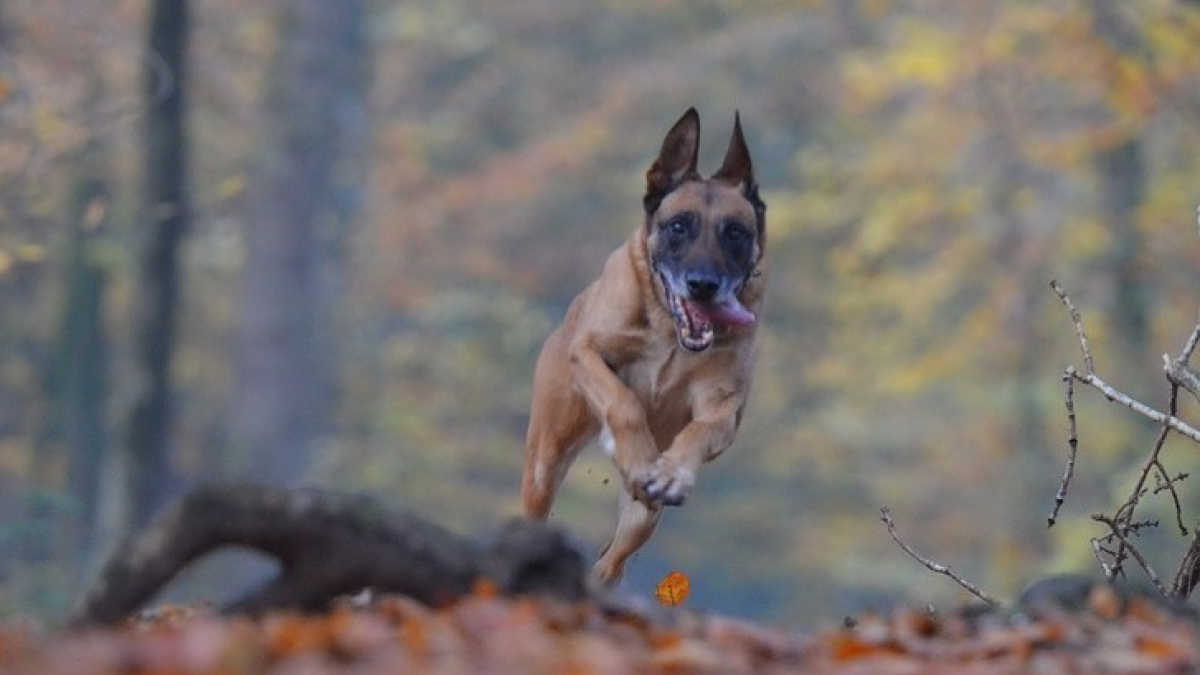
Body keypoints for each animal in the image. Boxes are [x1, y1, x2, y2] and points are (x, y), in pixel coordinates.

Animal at [523, 107, 768, 581]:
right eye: (678, 226)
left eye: (735, 232)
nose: (703, 285)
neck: (671, 332)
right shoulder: (588, 353)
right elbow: (623, 401)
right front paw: (638, 457)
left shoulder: (723, 407)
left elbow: (700, 429)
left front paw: (671, 474)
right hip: (545, 458)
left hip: (642, 518)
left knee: (611, 562)